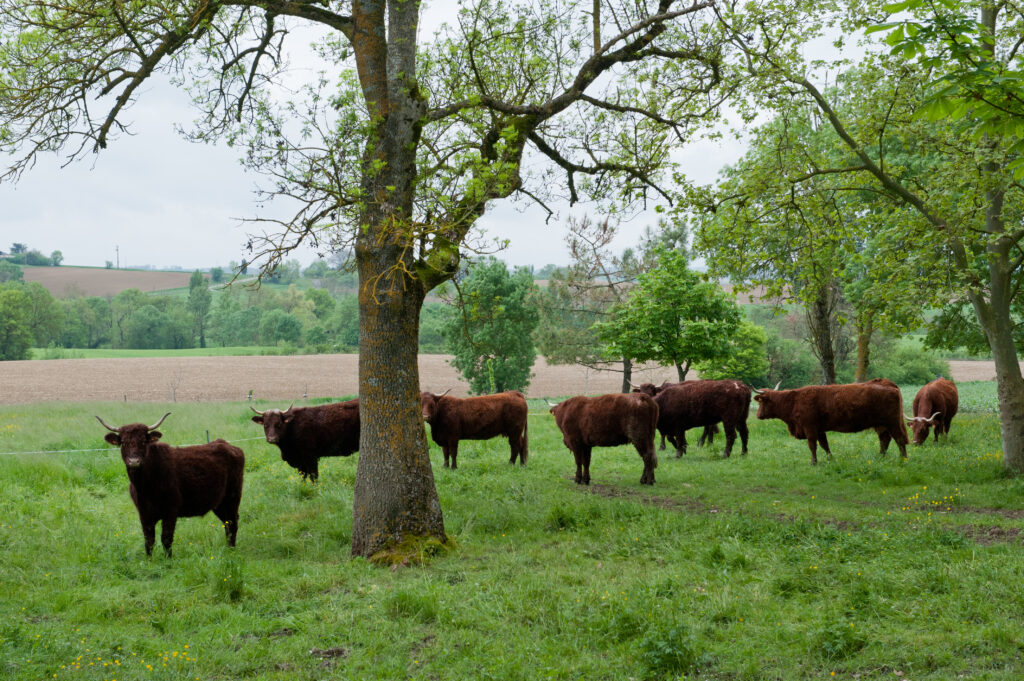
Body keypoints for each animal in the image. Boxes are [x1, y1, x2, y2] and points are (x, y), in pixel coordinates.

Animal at [97, 412, 244, 557]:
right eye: (123, 442)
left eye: (143, 441)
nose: (134, 461)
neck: (145, 486)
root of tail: (228, 445)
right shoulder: (144, 513)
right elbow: (149, 540)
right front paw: (149, 561)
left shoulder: (170, 510)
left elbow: (166, 538)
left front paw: (168, 560)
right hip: (219, 503)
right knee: (227, 523)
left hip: (232, 497)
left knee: (233, 522)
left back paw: (231, 550)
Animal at [752, 382, 908, 464]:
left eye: (761, 402)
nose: (758, 415)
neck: (794, 401)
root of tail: (889, 385)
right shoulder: (820, 430)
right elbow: (824, 445)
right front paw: (830, 459)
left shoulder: (810, 428)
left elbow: (812, 446)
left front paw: (813, 462)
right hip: (881, 425)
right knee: (885, 440)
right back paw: (881, 457)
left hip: (893, 423)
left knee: (899, 439)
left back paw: (903, 458)